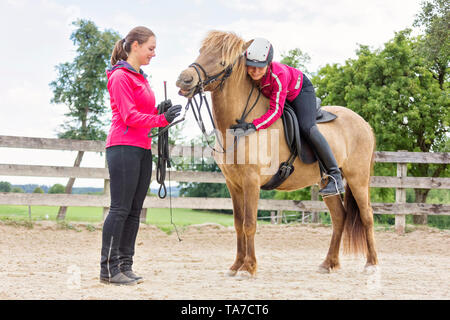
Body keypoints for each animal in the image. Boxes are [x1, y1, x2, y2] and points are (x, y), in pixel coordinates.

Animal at [176, 30, 376, 278]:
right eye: (201, 52)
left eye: (222, 62)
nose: (184, 79)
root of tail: (364, 124)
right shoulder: (234, 184)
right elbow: (238, 224)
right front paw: (236, 265)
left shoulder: (251, 181)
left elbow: (249, 224)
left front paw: (248, 267)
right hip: (326, 183)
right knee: (340, 218)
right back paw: (328, 263)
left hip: (358, 179)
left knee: (367, 216)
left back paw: (371, 264)